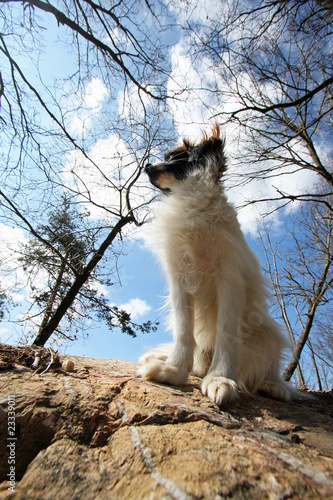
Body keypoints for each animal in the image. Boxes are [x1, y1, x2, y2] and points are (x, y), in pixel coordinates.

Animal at [137, 125, 294, 406]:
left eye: (173, 157)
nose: (147, 165)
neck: (192, 199)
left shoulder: (230, 280)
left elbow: (226, 333)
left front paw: (220, 379)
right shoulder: (180, 282)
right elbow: (184, 331)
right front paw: (174, 370)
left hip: (266, 333)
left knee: (269, 366)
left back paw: (273, 386)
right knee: (199, 358)